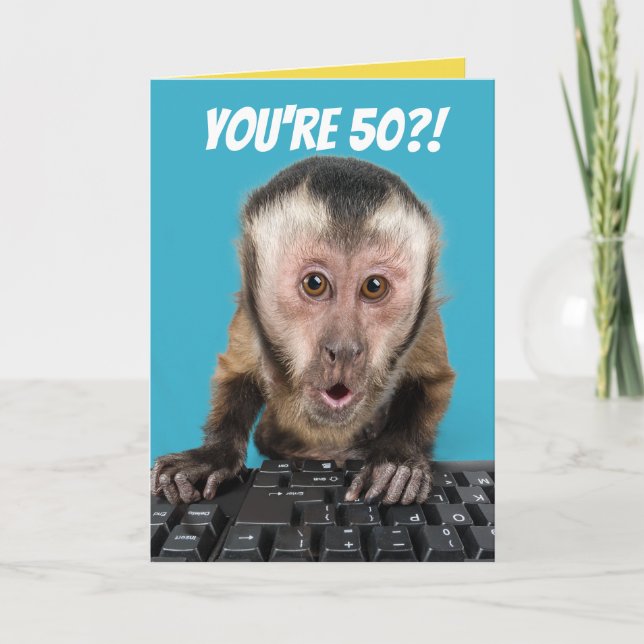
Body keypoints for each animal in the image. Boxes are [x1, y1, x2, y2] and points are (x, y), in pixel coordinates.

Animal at [151, 156, 455, 507]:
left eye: (374, 287)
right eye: (315, 284)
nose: (344, 349)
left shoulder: (427, 320)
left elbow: (433, 380)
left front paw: (396, 460)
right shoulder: (248, 317)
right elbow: (237, 373)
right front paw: (213, 455)